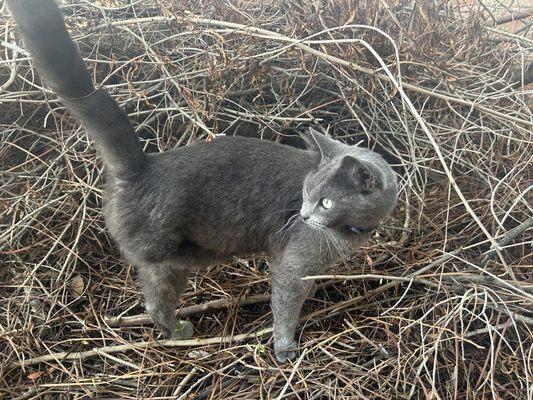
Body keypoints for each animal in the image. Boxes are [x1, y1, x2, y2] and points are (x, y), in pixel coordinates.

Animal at [8, 0, 396, 362]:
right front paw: (285, 347)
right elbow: (286, 301)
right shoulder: (293, 262)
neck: (350, 233)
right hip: (165, 256)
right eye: (306, 193)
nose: (301, 216)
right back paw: (180, 332)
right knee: (155, 302)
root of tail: (142, 166)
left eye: (325, 201)